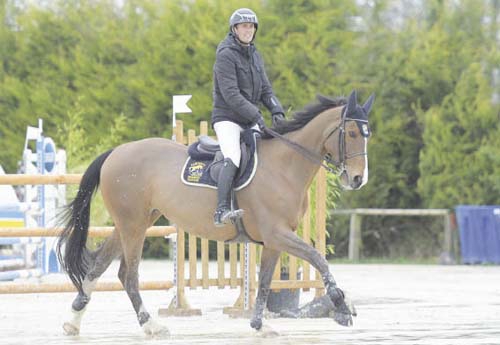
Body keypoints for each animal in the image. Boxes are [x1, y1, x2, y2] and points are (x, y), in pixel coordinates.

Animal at [57, 89, 372, 336]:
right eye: (351, 133)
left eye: (367, 135)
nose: (358, 179)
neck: (286, 165)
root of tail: (116, 152)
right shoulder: (278, 234)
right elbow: (318, 258)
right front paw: (342, 306)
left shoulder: (273, 241)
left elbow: (266, 281)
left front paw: (259, 325)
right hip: (133, 226)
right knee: (128, 274)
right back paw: (151, 326)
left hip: (135, 222)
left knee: (98, 265)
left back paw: (73, 322)